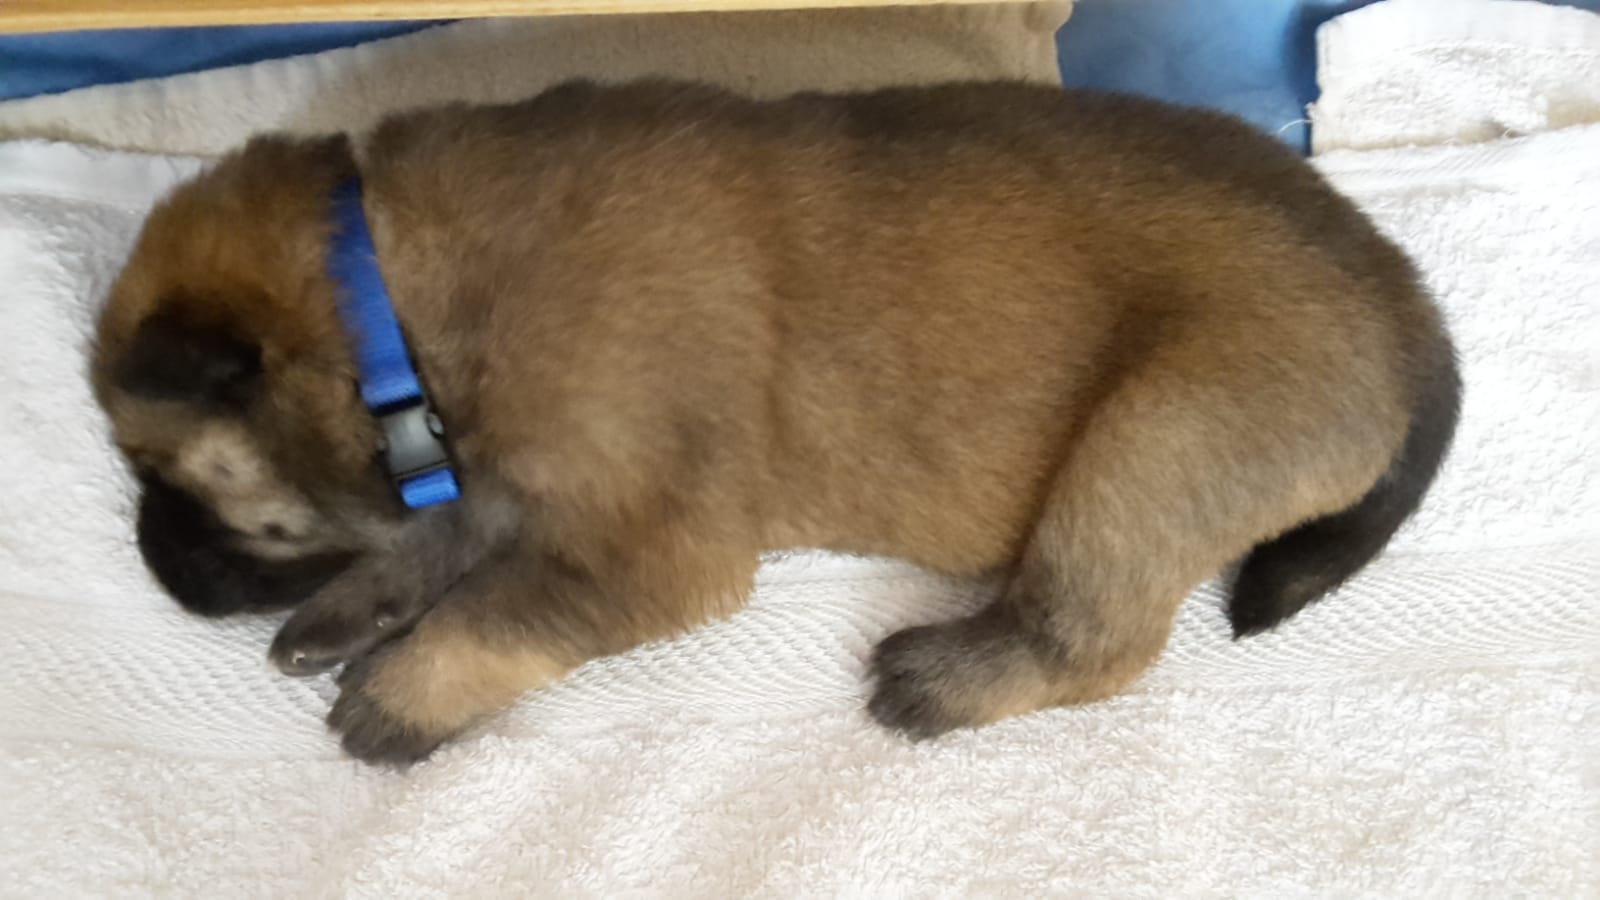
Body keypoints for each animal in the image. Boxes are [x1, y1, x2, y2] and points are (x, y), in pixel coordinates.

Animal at [90, 79, 1460, 764]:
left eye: (165, 473)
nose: (155, 572)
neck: (384, 291)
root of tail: (1406, 296)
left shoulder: (656, 548)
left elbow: (502, 604)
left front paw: (403, 694)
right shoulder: (507, 477)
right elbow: (452, 536)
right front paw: (354, 612)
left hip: (1159, 437)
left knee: (1098, 636)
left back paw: (947, 682)